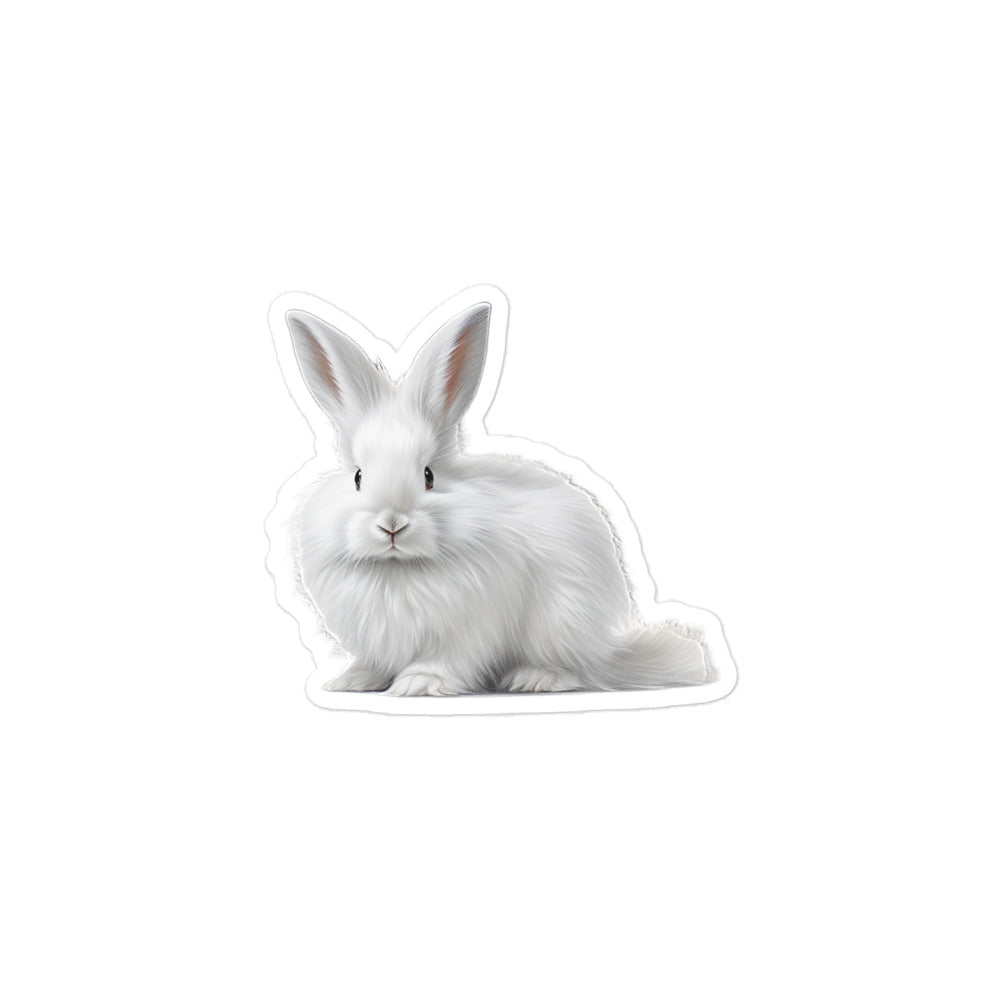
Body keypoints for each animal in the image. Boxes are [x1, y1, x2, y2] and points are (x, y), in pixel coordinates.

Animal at [286, 300, 708, 696]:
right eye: (358, 477)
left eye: (429, 475)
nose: (392, 524)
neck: (398, 569)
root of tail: (605, 653)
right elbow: (374, 663)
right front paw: (352, 680)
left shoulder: (467, 630)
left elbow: (445, 660)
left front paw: (419, 684)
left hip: (560, 624)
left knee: (571, 669)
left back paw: (534, 678)